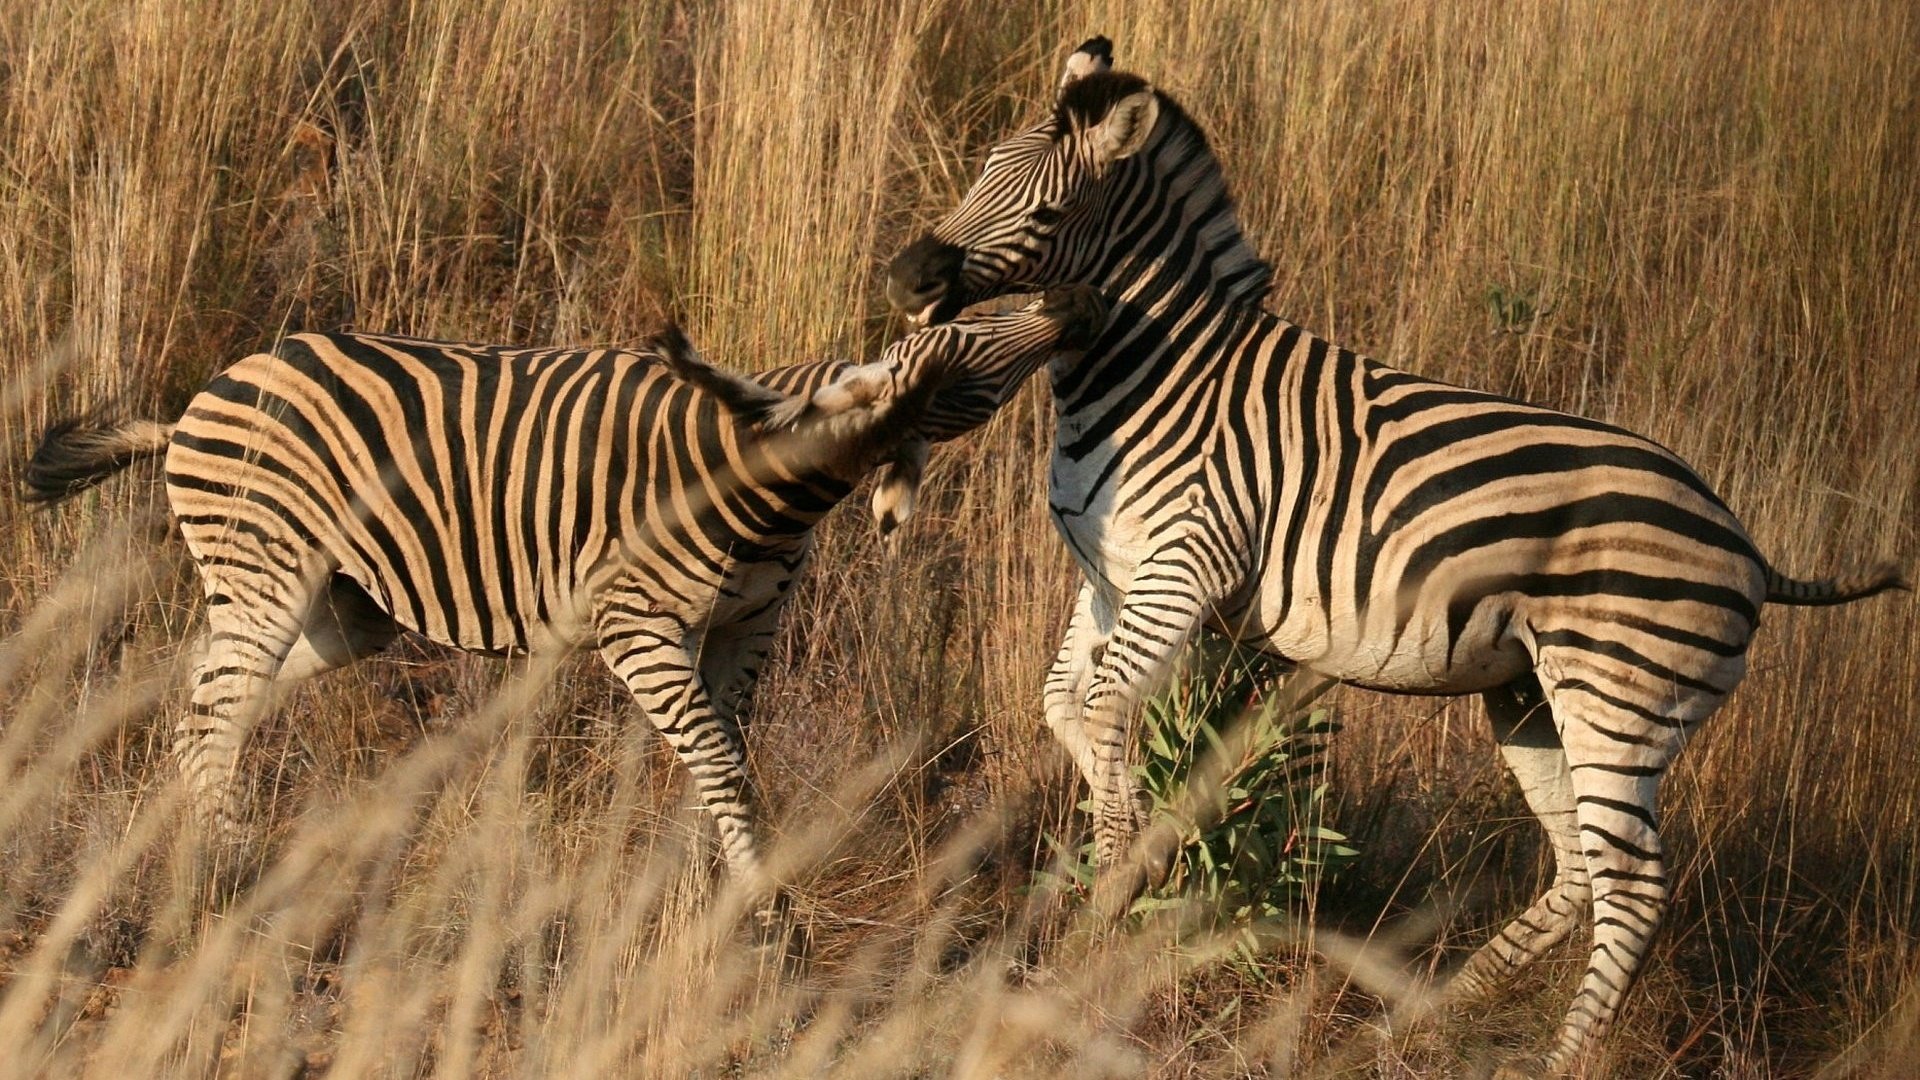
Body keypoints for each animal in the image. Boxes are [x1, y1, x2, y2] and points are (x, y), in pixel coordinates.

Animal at [22, 284, 1113, 899]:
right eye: (964, 349)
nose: (1075, 308)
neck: (770, 486)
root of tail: (191, 405)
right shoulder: (640, 628)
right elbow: (716, 754)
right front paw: (761, 900)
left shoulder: (749, 626)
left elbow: (729, 752)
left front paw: (708, 873)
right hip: (271, 567)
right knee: (215, 707)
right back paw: (231, 870)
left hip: (343, 609)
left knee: (204, 696)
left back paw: (198, 838)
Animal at [883, 35, 1904, 1076]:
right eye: (978, 173)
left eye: (1046, 213)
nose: (906, 276)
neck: (1153, 369)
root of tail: (1749, 545)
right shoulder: (1111, 578)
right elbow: (1066, 709)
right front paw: (1126, 872)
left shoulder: (1187, 562)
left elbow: (1102, 710)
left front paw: (1112, 902)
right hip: (1533, 697)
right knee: (1581, 866)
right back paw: (1432, 1012)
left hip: (1619, 698)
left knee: (1635, 886)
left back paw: (1556, 1056)